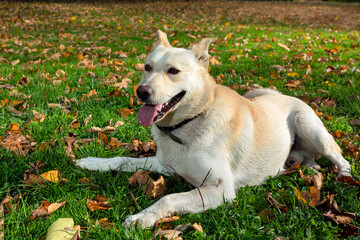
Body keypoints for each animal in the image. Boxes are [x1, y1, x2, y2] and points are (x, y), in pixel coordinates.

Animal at [76, 30, 352, 229]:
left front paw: (141, 218)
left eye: (173, 71)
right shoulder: (165, 165)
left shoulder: (221, 189)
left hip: (309, 125)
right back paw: (308, 168)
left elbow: (168, 197)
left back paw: (344, 176)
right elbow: (121, 160)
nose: (141, 92)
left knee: (340, 157)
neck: (188, 124)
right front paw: (91, 162)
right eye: (147, 67)